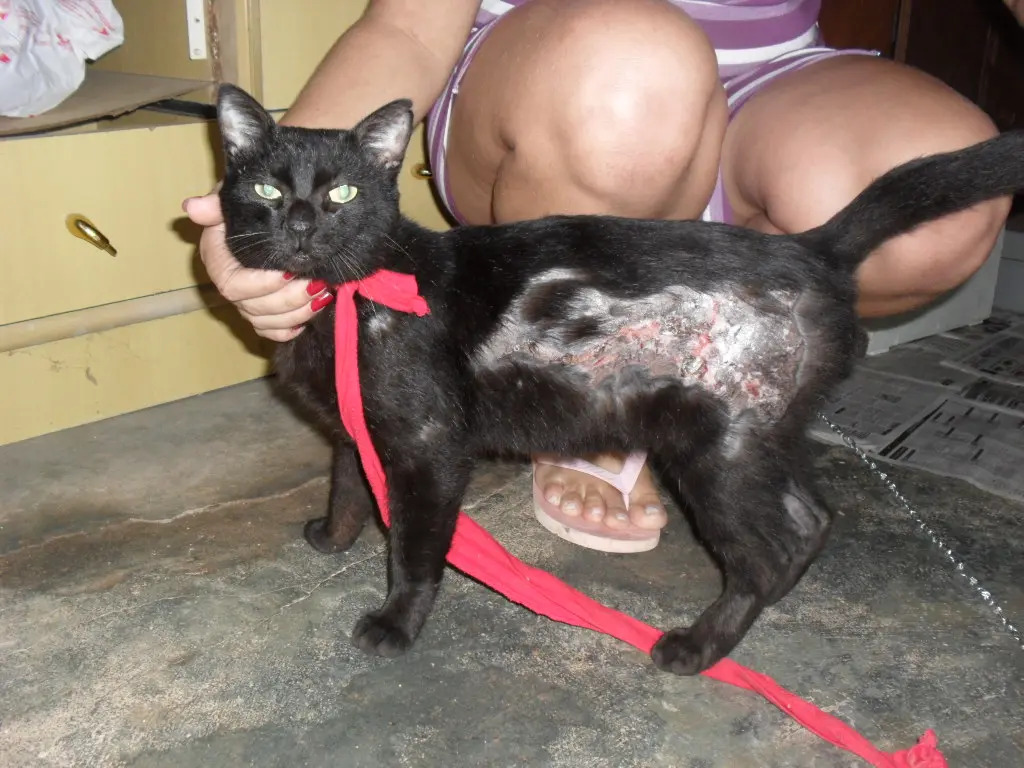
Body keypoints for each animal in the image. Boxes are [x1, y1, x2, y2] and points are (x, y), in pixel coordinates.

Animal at [214, 82, 1024, 676]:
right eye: (265, 189)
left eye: (343, 195)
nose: (300, 223)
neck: (343, 301)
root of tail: (810, 247)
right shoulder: (360, 429)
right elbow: (348, 483)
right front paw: (332, 537)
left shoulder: (426, 444)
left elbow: (415, 545)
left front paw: (395, 623)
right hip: (763, 437)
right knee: (812, 519)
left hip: (719, 451)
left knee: (769, 548)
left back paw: (700, 647)